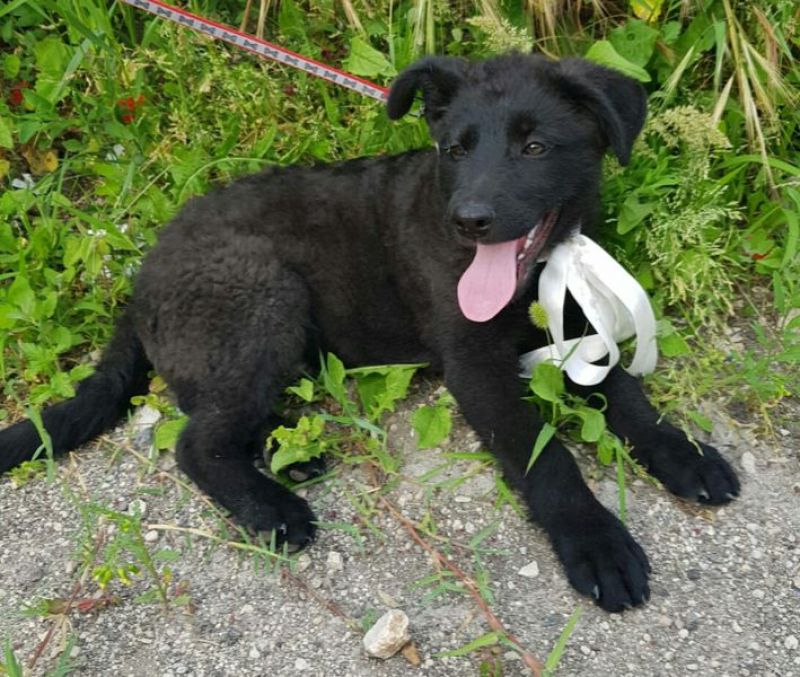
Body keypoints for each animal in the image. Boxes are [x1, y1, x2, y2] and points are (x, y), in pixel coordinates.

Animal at [0, 55, 736, 608]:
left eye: (534, 147)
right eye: (454, 150)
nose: (470, 219)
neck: (533, 275)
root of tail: (140, 281)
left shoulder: (578, 331)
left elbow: (629, 398)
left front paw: (685, 454)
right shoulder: (475, 368)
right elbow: (546, 455)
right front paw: (596, 541)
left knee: (215, 411)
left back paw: (287, 447)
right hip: (265, 298)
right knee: (195, 441)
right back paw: (271, 507)